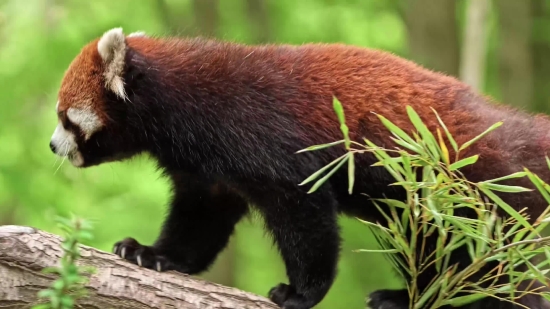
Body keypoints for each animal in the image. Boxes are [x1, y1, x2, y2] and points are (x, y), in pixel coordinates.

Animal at [50, 27, 550, 308]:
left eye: (64, 117)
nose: (53, 146)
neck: (186, 105)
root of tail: (520, 127)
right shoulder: (207, 174)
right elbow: (199, 220)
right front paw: (153, 254)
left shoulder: (268, 143)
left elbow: (305, 219)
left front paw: (301, 293)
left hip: (472, 188)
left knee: (495, 267)